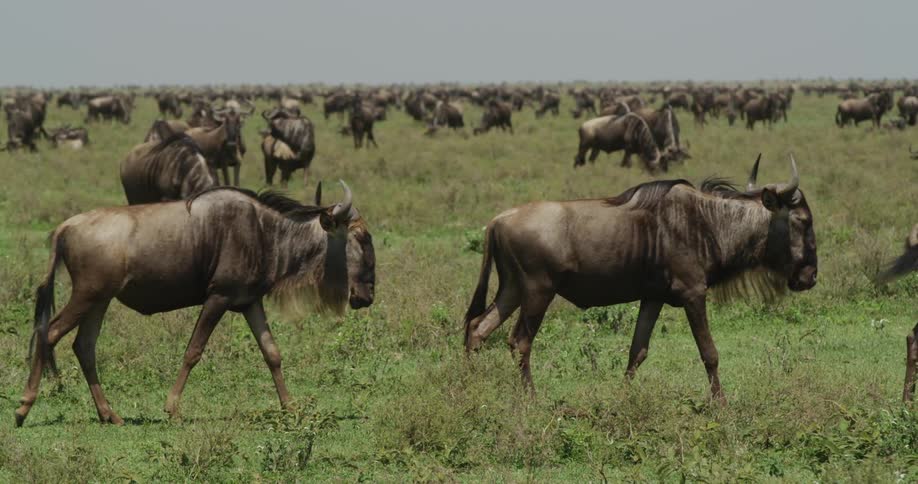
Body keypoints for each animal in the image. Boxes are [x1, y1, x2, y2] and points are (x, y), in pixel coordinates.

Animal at [14, 182, 375, 427]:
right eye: (361, 237)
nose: (368, 296)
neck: (265, 233)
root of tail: (65, 227)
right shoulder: (218, 298)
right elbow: (193, 351)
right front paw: (172, 409)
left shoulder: (249, 302)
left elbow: (272, 353)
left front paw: (291, 407)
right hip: (86, 295)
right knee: (49, 333)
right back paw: (23, 406)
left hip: (100, 300)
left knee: (84, 346)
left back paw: (109, 414)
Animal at [463, 156, 817, 402]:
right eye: (803, 221)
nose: (810, 277)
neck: (708, 223)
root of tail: (498, 220)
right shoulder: (693, 294)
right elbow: (709, 353)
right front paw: (721, 404)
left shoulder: (653, 297)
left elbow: (638, 351)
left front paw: (623, 398)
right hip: (538, 291)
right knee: (519, 341)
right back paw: (531, 399)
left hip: (512, 289)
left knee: (478, 328)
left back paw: (470, 387)